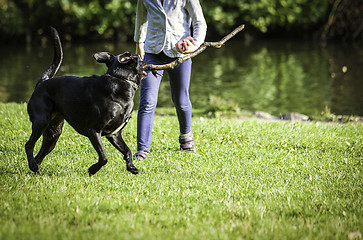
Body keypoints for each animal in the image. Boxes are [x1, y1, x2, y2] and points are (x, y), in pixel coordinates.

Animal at [24, 28, 146, 175]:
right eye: (140, 59)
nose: (144, 57)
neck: (121, 79)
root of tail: (42, 83)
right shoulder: (93, 130)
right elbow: (104, 156)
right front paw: (93, 169)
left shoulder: (114, 134)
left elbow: (127, 150)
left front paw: (131, 167)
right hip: (41, 121)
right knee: (29, 145)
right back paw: (33, 165)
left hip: (53, 135)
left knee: (39, 155)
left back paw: (35, 169)